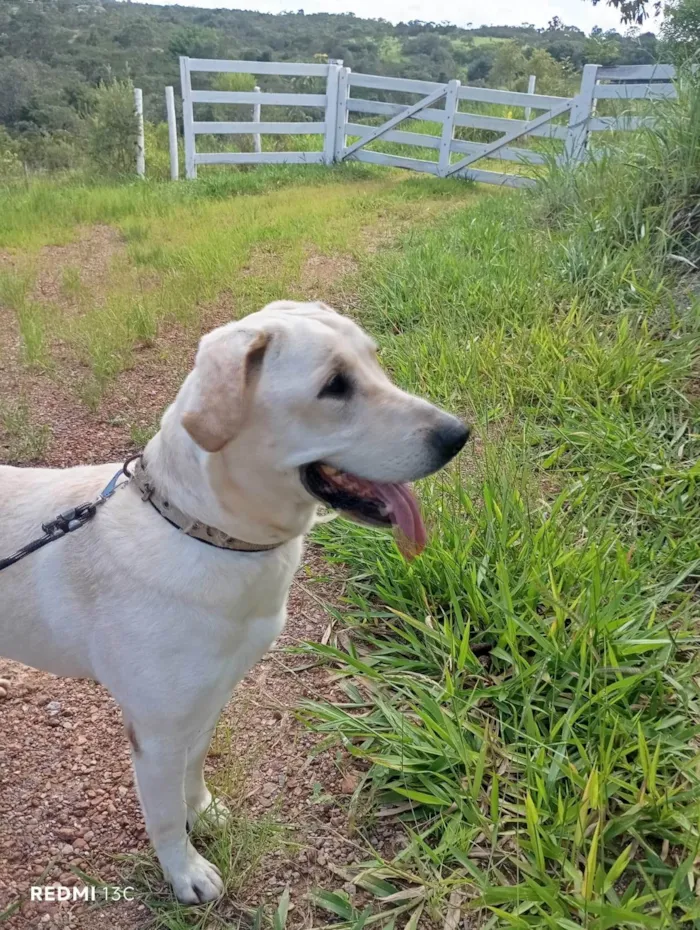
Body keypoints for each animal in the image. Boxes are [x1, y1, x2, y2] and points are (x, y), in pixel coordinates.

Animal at [1, 300, 470, 904]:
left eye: (375, 360)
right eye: (334, 386)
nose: (458, 435)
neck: (205, 531)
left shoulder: (209, 699)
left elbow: (194, 771)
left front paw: (202, 813)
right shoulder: (155, 733)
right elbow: (162, 816)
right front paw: (184, 873)